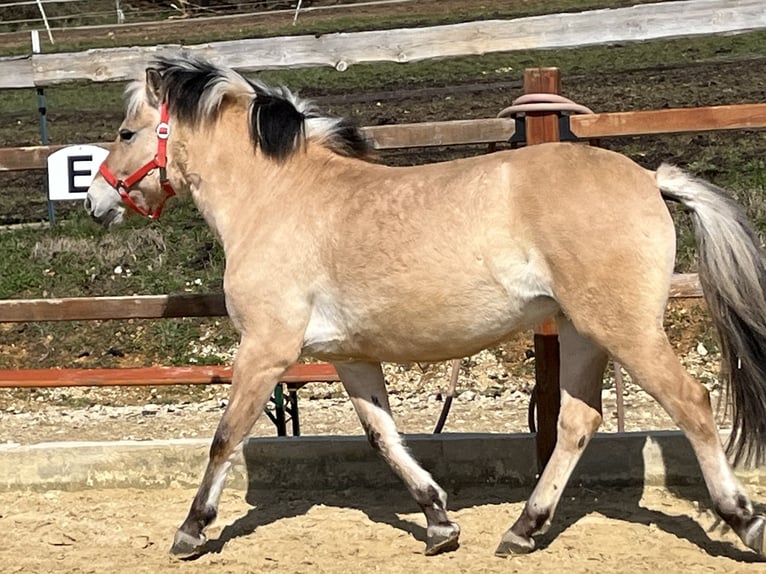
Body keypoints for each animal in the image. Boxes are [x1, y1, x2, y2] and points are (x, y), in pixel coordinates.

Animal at [85, 55, 766, 559]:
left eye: (124, 134)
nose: (95, 202)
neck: (278, 199)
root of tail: (650, 178)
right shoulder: (349, 357)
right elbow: (382, 436)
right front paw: (439, 520)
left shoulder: (265, 349)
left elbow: (226, 436)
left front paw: (190, 530)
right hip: (581, 330)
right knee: (578, 421)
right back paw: (522, 529)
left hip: (624, 328)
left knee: (692, 403)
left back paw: (743, 521)